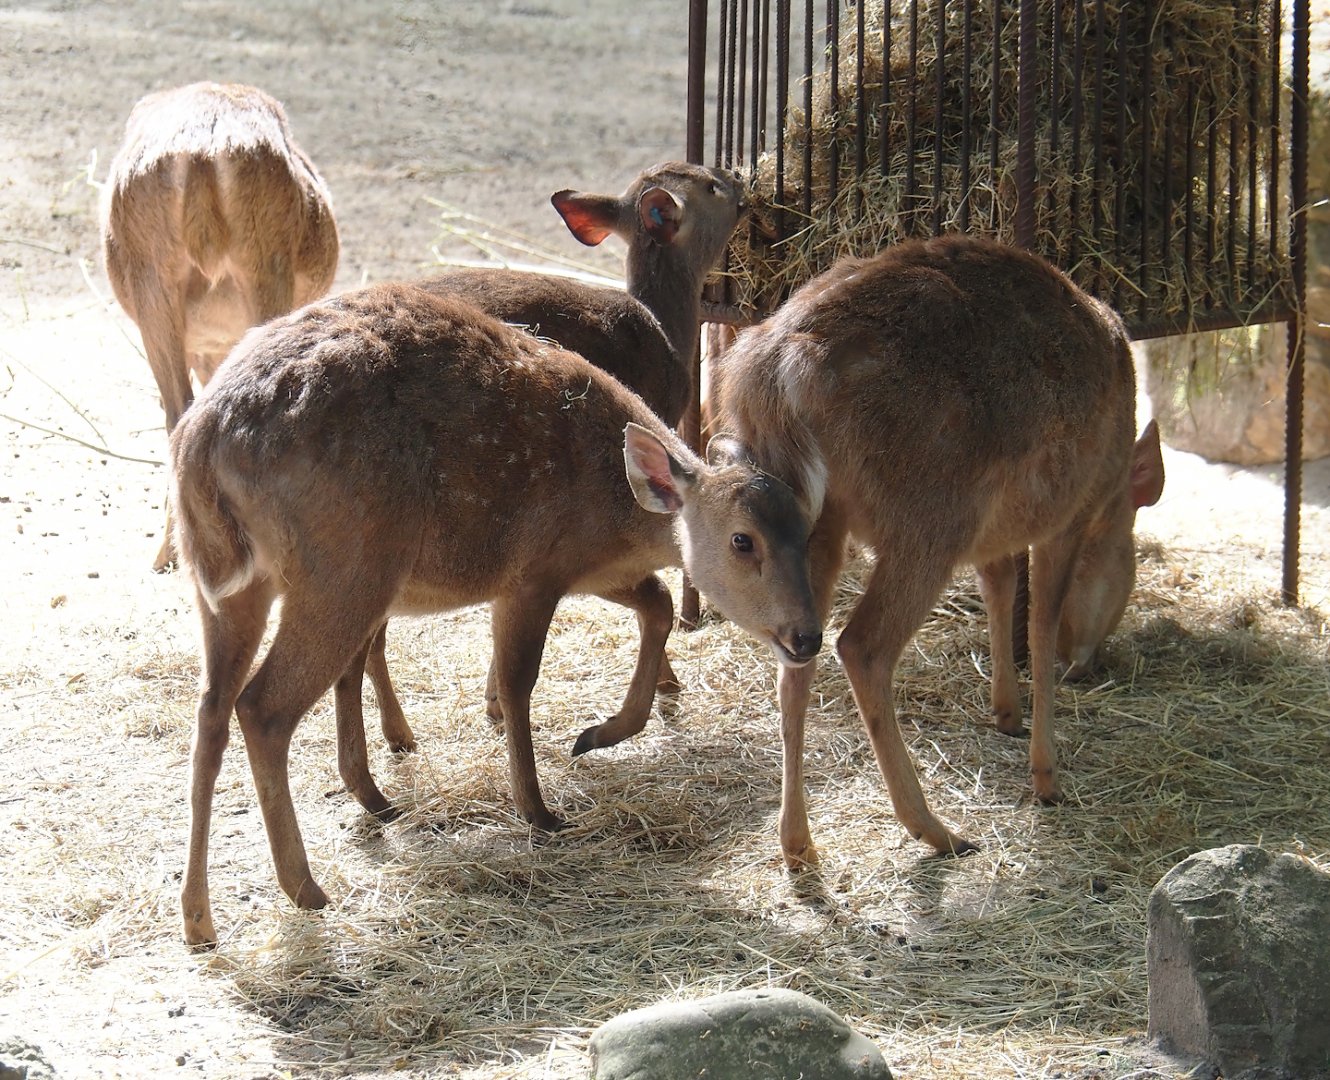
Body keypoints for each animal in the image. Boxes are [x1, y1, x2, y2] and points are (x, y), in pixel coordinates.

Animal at [170, 282, 821, 947]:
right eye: (743, 540)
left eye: (807, 528)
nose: (807, 636)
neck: (619, 515)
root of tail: (202, 445)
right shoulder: (533, 574)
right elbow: (517, 682)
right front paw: (538, 809)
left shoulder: (591, 572)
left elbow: (659, 605)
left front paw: (596, 735)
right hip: (344, 569)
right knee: (264, 707)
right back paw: (306, 887)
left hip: (221, 584)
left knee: (211, 710)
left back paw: (200, 915)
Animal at [338, 163, 747, 787]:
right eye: (710, 186)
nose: (743, 182)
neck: (668, 331)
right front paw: (668, 686)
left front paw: (491, 704)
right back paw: (396, 738)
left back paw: (397, 737)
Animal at [708, 233, 1166, 869]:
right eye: (1129, 570)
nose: (1091, 663)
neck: (1113, 494)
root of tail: (777, 372)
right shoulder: (1066, 515)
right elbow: (1041, 620)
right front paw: (1047, 776)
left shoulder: (996, 535)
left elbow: (1001, 587)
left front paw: (1006, 713)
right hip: (929, 518)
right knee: (863, 645)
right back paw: (935, 828)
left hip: (816, 518)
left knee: (796, 656)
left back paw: (798, 843)